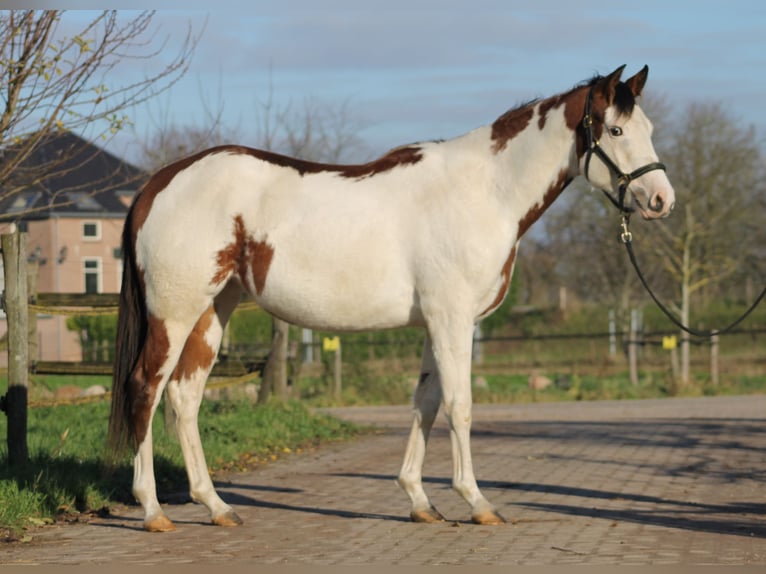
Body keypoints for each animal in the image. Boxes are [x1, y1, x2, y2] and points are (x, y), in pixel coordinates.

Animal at [109, 65, 680, 532]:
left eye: (649, 130)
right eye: (615, 130)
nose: (661, 201)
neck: (484, 191)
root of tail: (159, 183)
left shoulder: (437, 323)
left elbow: (425, 403)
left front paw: (420, 501)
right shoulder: (453, 319)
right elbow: (459, 406)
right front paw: (477, 502)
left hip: (213, 311)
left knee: (184, 397)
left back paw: (216, 506)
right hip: (174, 312)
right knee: (146, 388)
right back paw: (153, 510)